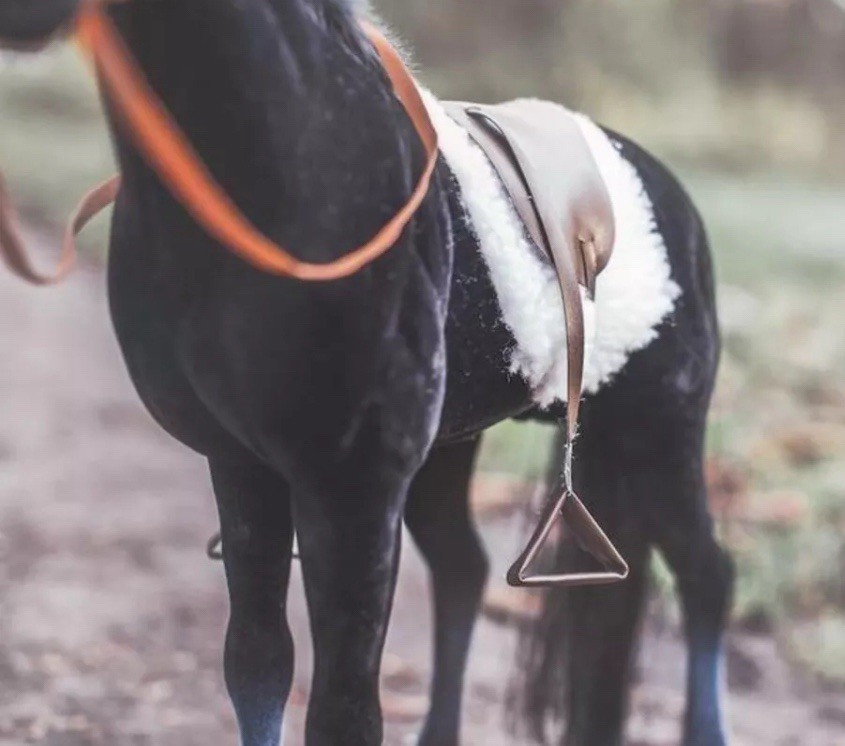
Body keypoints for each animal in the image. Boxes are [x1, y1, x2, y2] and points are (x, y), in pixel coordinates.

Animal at [0, 1, 734, 745]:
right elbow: (258, 663)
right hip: (458, 447)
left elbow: (344, 709)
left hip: (660, 434)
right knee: (464, 569)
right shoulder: (242, 463)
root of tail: (668, 193)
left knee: (707, 577)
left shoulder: (353, 487)